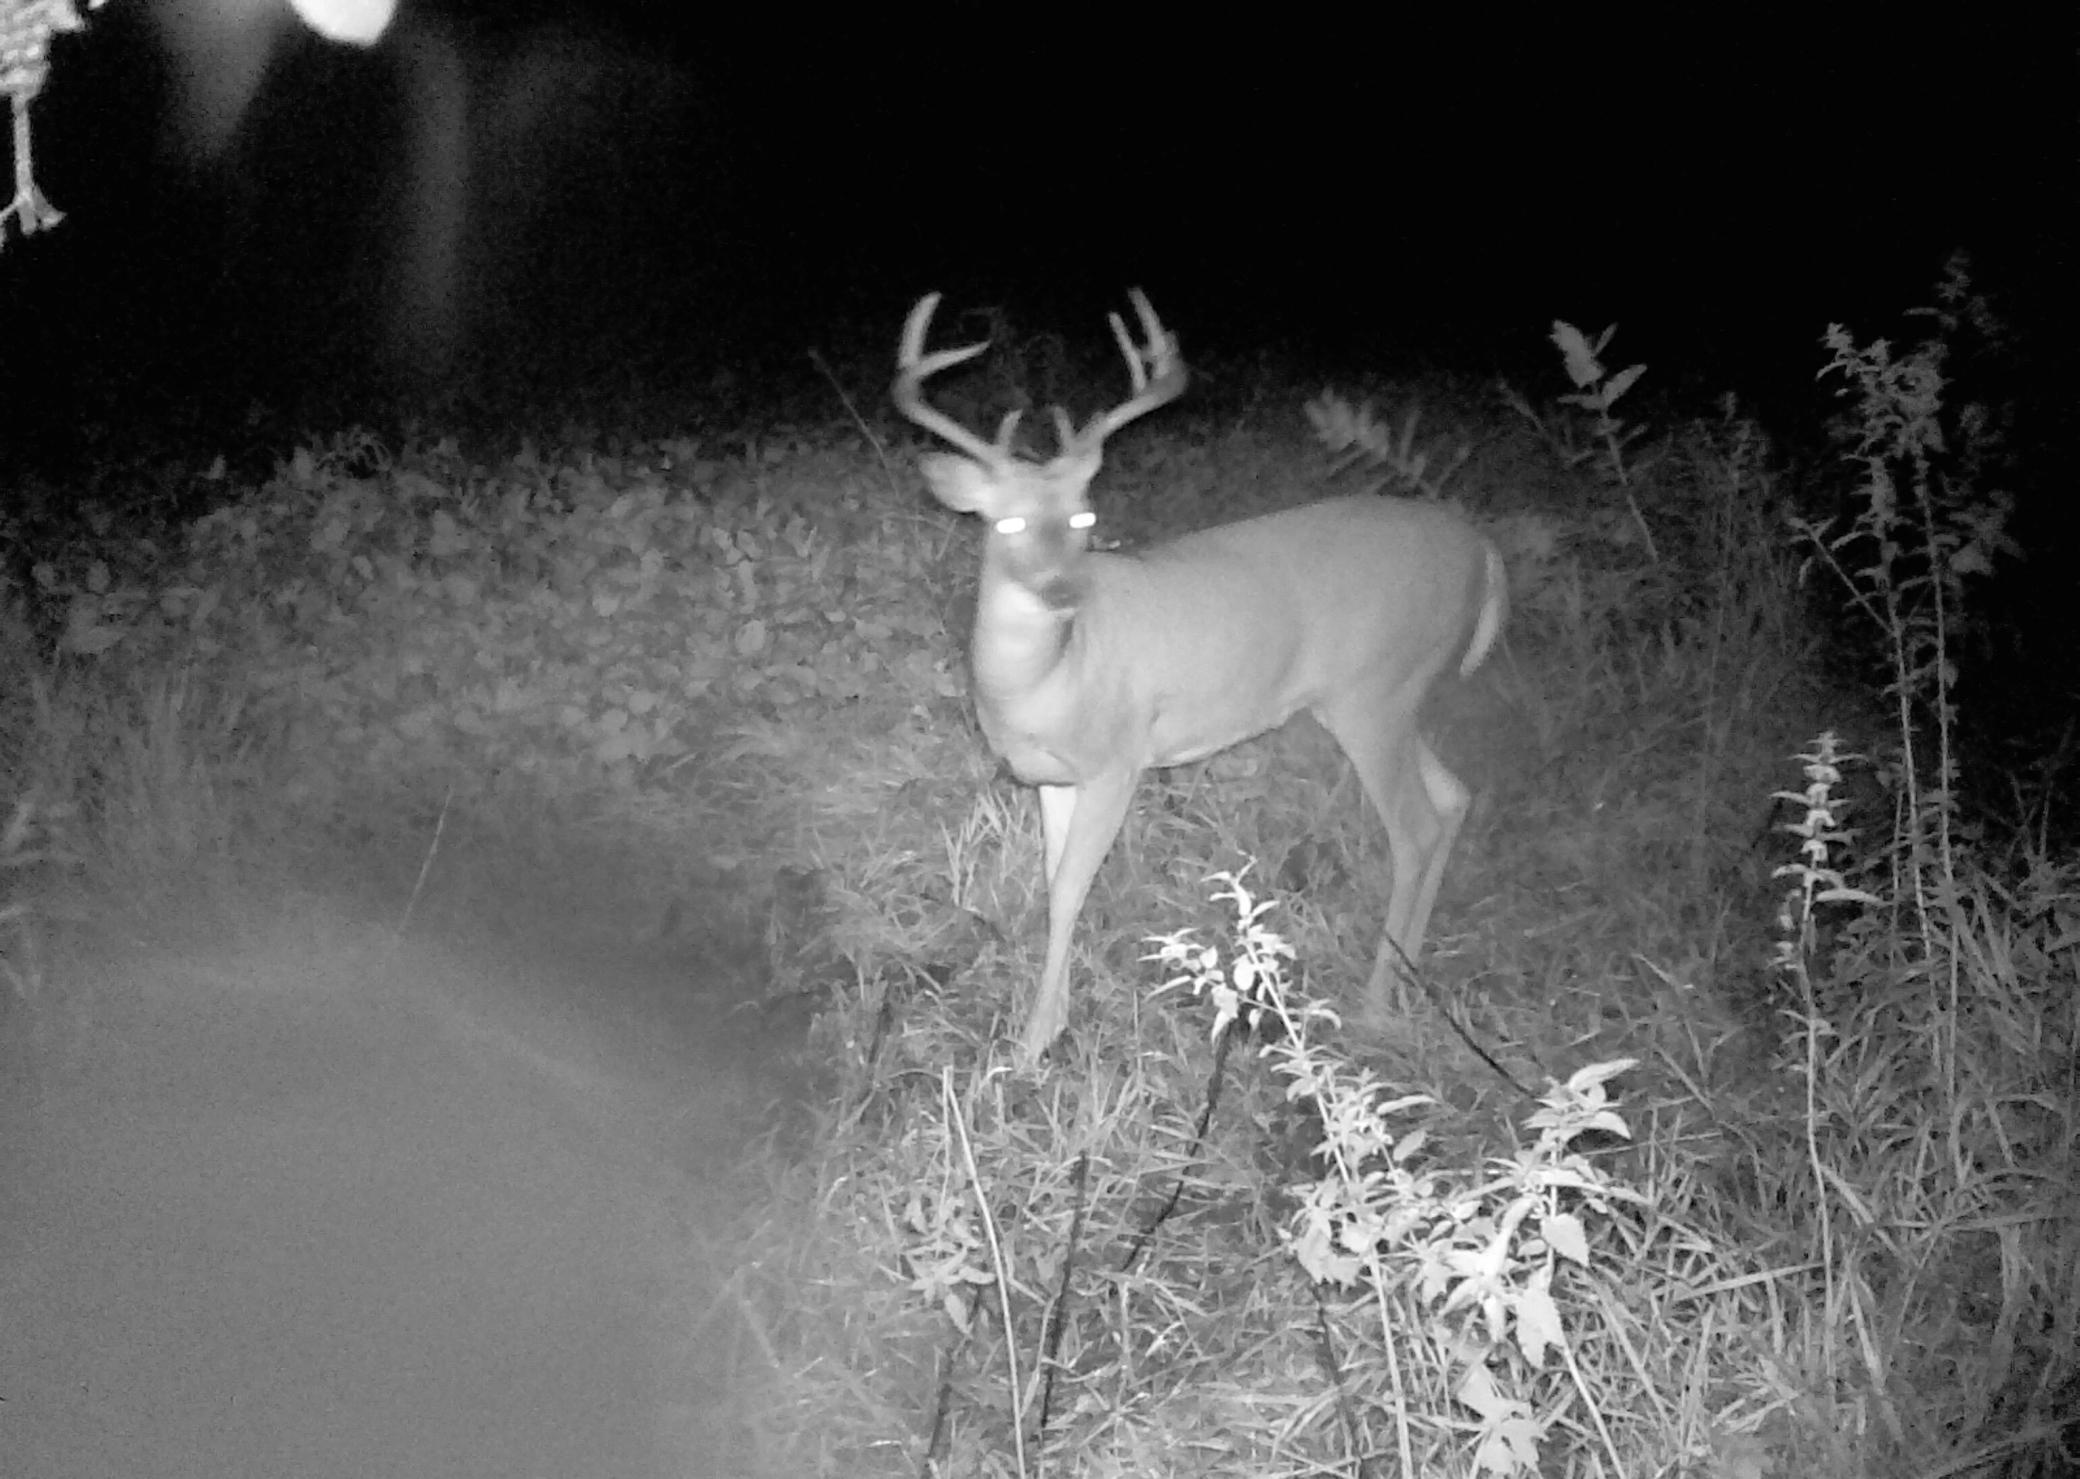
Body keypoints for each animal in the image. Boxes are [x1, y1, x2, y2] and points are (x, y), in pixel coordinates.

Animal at [895, 291, 1507, 1066]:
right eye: (1003, 523)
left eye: (1085, 514)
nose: (1066, 591)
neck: (1044, 686)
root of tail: (1483, 549)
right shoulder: (1052, 779)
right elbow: (1052, 883)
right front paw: (1052, 1022)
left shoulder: (1118, 760)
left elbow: (1069, 891)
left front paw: (1031, 1044)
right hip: (1390, 695)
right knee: (1455, 796)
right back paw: (1411, 975)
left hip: (1375, 692)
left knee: (1417, 827)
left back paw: (1374, 1004)